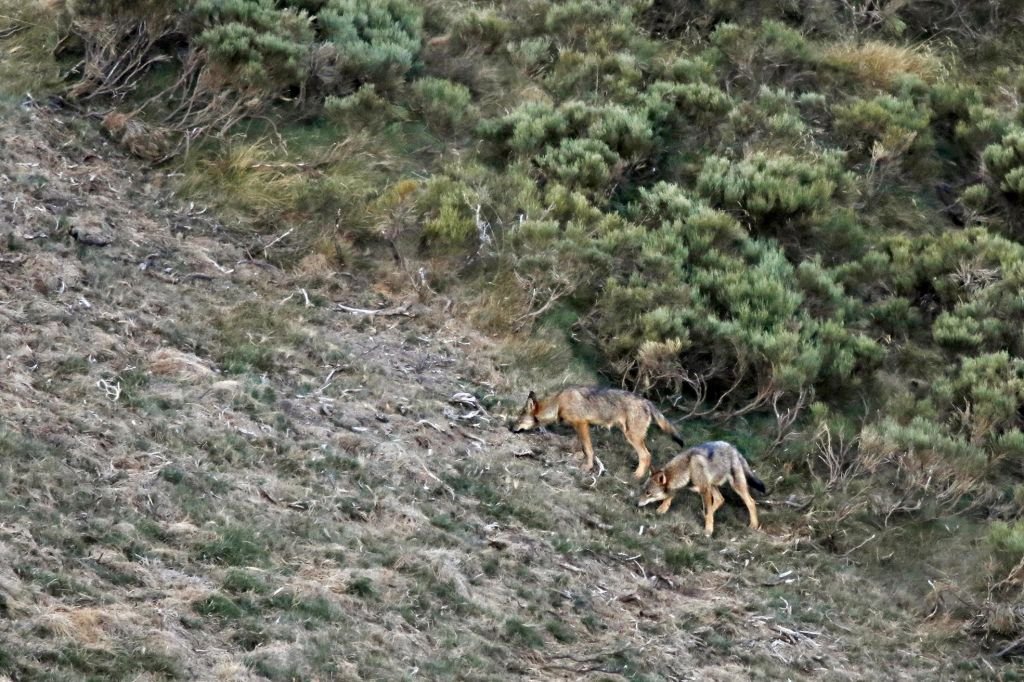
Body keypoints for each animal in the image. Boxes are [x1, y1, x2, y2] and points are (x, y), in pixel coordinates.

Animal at [507, 385, 684, 475]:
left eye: (519, 418)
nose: (510, 428)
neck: (558, 403)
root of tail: (647, 402)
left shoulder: (582, 424)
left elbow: (588, 449)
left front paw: (587, 467)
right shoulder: (581, 427)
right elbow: (582, 447)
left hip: (631, 436)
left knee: (646, 456)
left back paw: (635, 478)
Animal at [634, 440, 765, 536]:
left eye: (648, 493)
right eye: (643, 490)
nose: (635, 504)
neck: (688, 469)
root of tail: (733, 448)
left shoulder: (704, 490)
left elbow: (707, 510)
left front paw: (708, 530)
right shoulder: (697, 488)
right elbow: (670, 496)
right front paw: (662, 509)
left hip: (735, 486)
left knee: (751, 502)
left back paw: (754, 525)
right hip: (712, 485)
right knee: (720, 499)